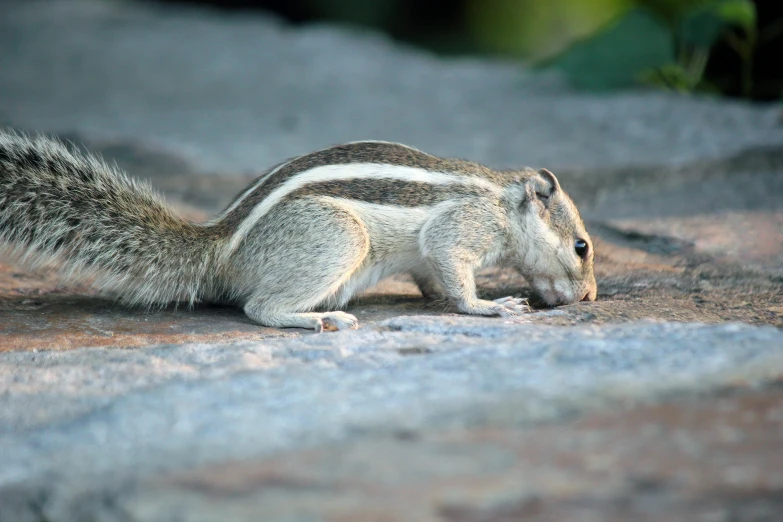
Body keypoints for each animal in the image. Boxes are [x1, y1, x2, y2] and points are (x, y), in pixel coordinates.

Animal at [1, 132, 600, 332]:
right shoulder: (463, 226)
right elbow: (450, 262)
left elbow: (434, 277)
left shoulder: (428, 257)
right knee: (258, 308)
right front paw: (490, 306)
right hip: (339, 237)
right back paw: (317, 319)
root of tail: (220, 249)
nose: (592, 296)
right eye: (581, 246)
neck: (503, 199)